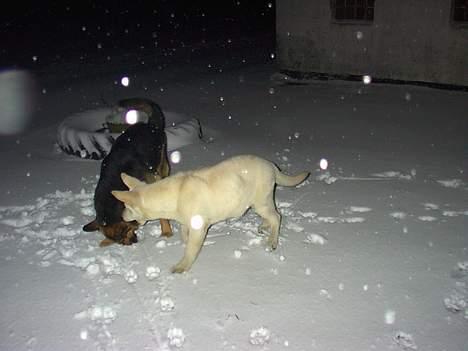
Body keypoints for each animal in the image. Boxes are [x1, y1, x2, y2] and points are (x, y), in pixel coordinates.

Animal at [83, 98, 173, 248]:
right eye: (118, 240)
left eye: (125, 230)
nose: (131, 243)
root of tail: (149, 125)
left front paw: (166, 232)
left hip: (161, 163)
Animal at [112, 155, 310, 274]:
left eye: (126, 207)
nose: (121, 216)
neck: (171, 196)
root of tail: (272, 165)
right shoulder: (187, 222)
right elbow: (184, 234)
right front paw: (184, 241)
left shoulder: (198, 226)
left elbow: (191, 249)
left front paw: (182, 266)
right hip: (259, 203)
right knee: (273, 215)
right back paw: (264, 226)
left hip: (261, 201)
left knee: (277, 217)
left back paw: (272, 241)